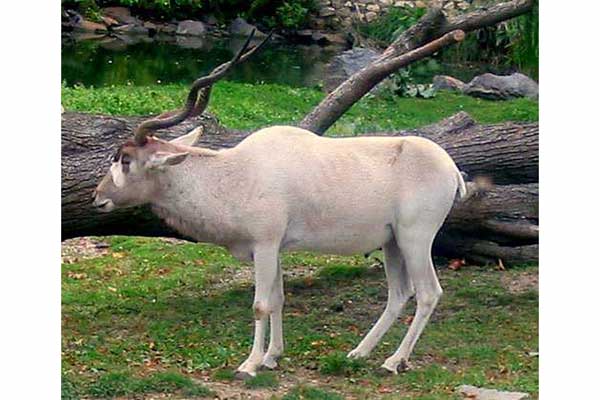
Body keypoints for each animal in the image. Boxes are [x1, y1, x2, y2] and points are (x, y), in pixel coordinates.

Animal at [91, 33, 466, 378]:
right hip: (391, 243)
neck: (235, 173)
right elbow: (279, 300)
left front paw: (250, 363)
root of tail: (451, 169)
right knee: (399, 293)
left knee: (428, 293)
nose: (97, 197)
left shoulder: (265, 244)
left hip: (415, 238)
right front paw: (273, 356)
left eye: (125, 160)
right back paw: (359, 353)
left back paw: (394, 361)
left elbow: (260, 304)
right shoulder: (273, 249)